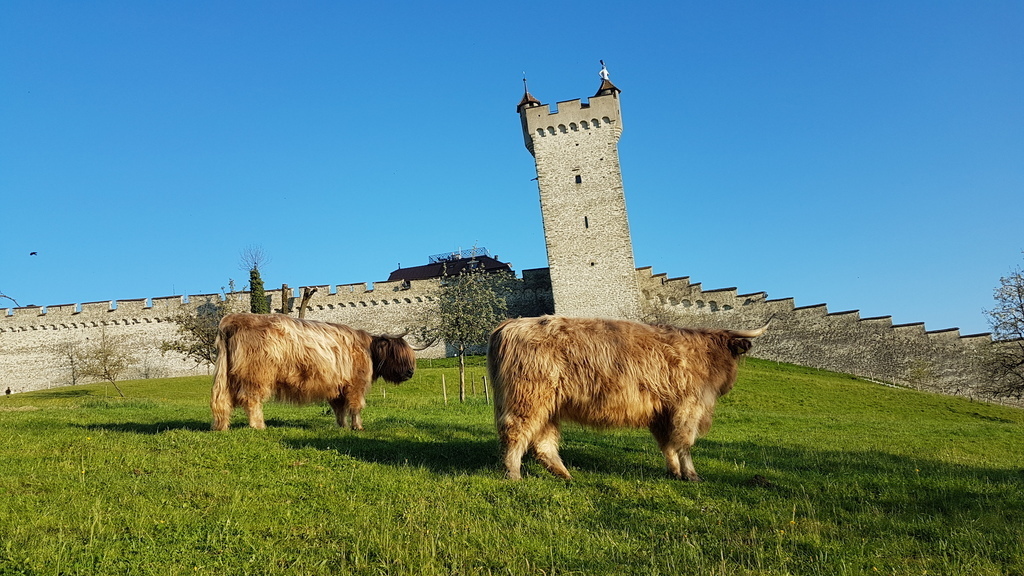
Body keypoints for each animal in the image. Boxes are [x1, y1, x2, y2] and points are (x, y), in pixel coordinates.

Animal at [210, 313, 417, 431]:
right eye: (397, 355)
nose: (410, 372)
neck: (367, 349)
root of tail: (232, 320)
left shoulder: (337, 387)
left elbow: (339, 409)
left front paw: (342, 426)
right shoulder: (355, 384)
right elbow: (356, 407)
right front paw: (357, 427)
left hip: (226, 376)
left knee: (223, 401)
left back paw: (223, 427)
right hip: (256, 375)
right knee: (251, 400)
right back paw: (259, 426)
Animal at [487, 315, 767, 481]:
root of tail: (508, 325)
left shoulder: (662, 412)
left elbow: (667, 443)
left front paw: (674, 471)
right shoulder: (688, 406)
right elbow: (684, 442)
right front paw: (691, 474)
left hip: (549, 405)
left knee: (543, 442)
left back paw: (565, 475)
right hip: (527, 398)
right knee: (515, 432)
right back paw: (513, 474)